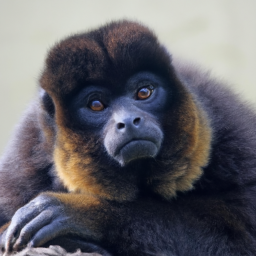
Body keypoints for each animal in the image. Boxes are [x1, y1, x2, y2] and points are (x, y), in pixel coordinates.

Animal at [0, 20, 256, 256]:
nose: (129, 120)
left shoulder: (232, 130)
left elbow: (239, 236)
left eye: (143, 93)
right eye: (96, 104)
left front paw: (83, 213)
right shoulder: (23, 161)